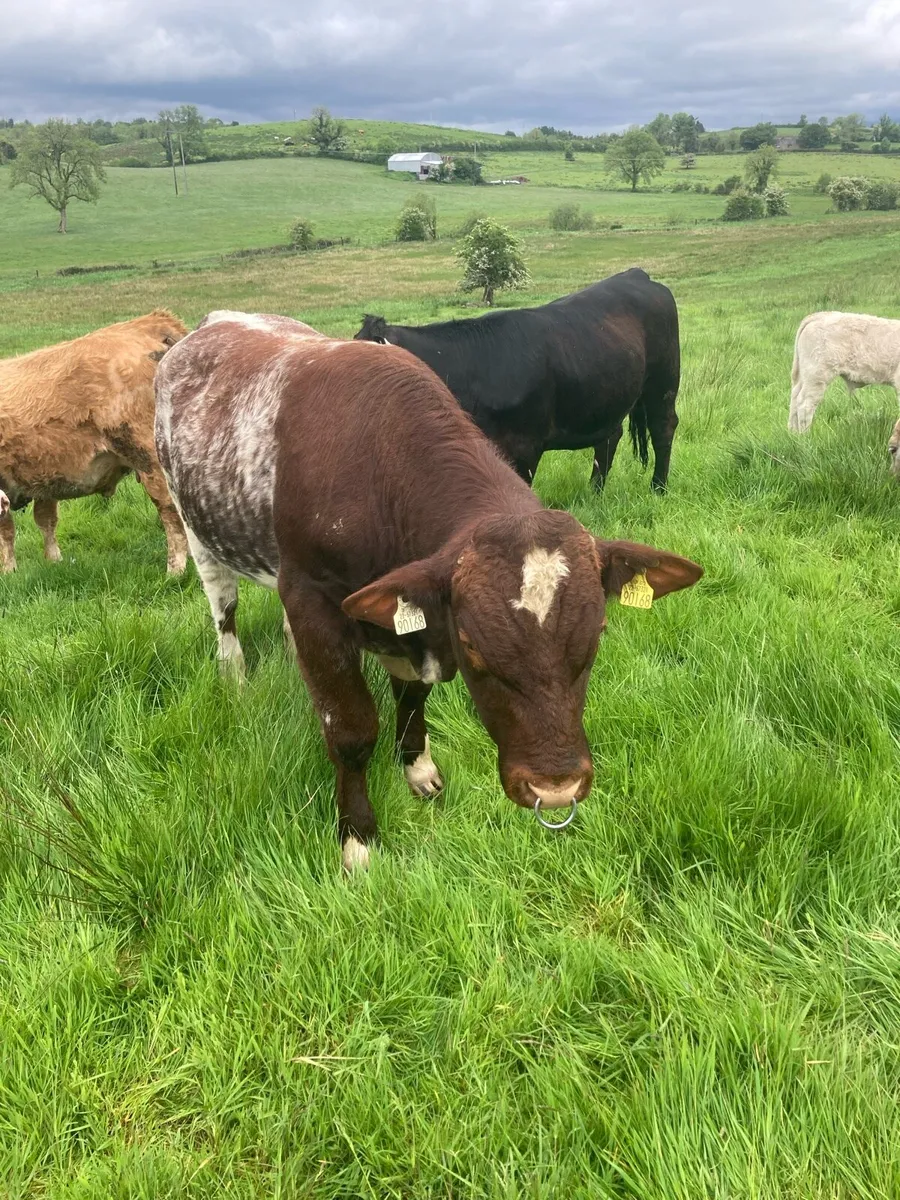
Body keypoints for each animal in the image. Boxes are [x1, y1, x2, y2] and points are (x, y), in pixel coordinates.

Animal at [0, 311, 189, 574]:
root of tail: (150, 322)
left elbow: (7, 531)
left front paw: (9, 571)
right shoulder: (45, 476)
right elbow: (45, 519)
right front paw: (53, 562)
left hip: (150, 461)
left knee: (170, 512)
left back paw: (175, 571)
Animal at [155, 311, 702, 871]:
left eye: (596, 637)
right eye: (475, 648)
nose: (556, 789)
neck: (377, 475)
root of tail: (215, 321)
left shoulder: (403, 610)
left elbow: (413, 695)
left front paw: (417, 768)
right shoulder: (312, 598)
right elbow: (350, 728)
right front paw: (358, 839)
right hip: (196, 528)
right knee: (224, 608)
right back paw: (234, 675)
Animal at [354, 268, 680, 491]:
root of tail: (639, 275)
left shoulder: (525, 445)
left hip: (663, 382)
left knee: (663, 427)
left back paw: (658, 488)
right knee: (610, 437)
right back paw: (595, 491)